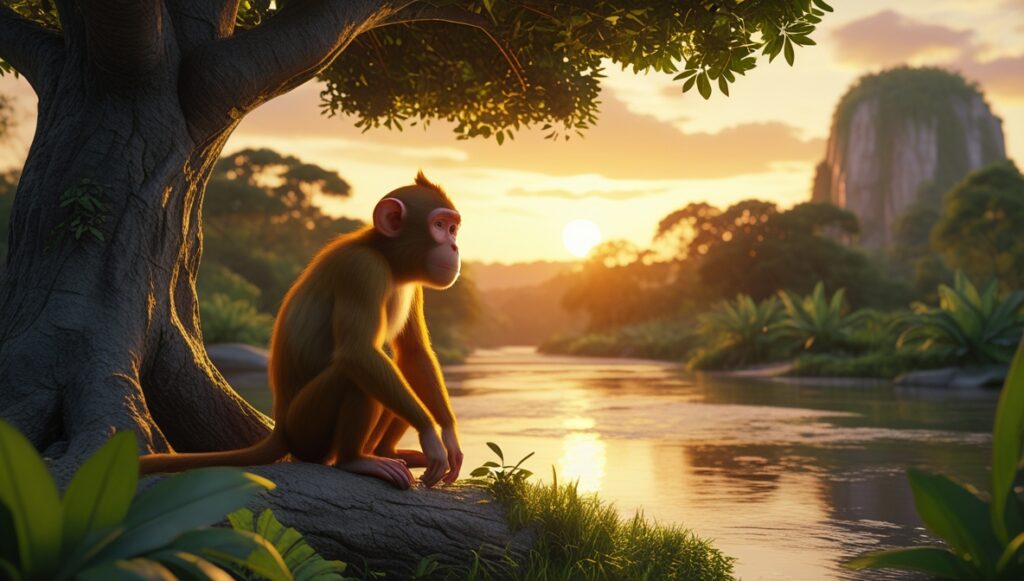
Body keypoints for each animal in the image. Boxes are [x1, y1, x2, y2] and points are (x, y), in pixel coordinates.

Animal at [140, 172, 464, 489]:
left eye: (453, 228)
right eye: (439, 226)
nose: (454, 246)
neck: (386, 258)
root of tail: (282, 425)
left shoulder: (413, 284)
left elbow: (413, 352)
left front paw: (449, 436)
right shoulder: (360, 269)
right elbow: (358, 353)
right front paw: (431, 435)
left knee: (399, 366)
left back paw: (385, 451)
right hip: (307, 430)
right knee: (352, 375)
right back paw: (355, 460)